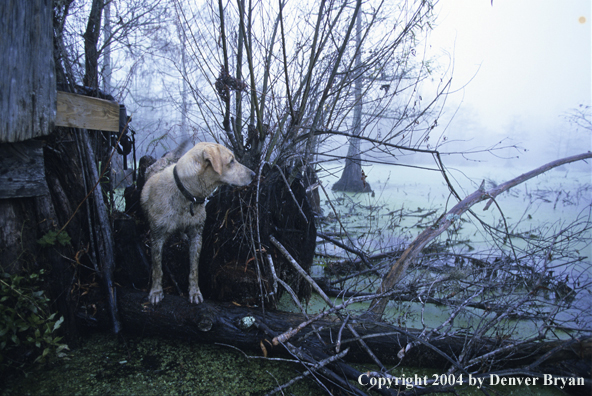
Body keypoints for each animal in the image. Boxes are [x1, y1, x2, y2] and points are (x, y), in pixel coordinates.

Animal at [143, 142, 256, 304]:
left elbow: (194, 269)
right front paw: (156, 291)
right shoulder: (157, 238)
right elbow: (157, 268)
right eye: (231, 161)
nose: (253, 174)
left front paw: (195, 292)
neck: (187, 195)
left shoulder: (197, 235)